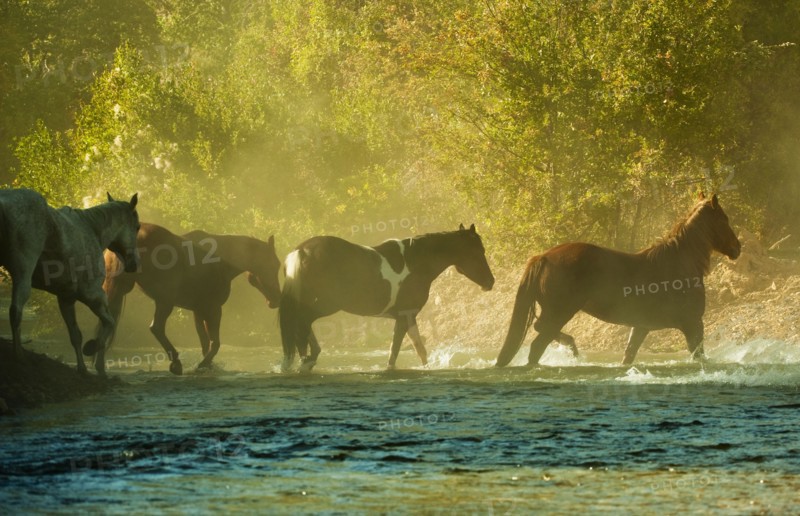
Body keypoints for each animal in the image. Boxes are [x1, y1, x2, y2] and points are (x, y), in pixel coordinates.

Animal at [0, 189, 140, 375]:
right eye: (137, 227)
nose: (134, 264)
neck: (91, 230)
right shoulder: (93, 295)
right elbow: (109, 323)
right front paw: (92, 348)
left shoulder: (66, 298)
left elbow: (75, 335)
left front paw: (82, 369)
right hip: (23, 275)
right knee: (15, 312)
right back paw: (19, 356)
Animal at [102, 222, 282, 374]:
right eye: (274, 264)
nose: (276, 299)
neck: (220, 260)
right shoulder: (213, 309)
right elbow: (215, 343)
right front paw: (202, 365)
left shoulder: (198, 310)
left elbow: (204, 343)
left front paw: (208, 366)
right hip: (164, 301)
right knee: (156, 327)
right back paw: (176, 363)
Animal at [279, 224, 495, 372]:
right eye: (478, 252)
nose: (490, 281)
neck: (415, 262)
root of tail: (302, 250)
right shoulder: (404, 316)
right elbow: (396, 352)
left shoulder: (406, 316)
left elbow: (418, 350)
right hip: (326, 304)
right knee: (301, 323)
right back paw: (307, 361)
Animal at [495, 193, 741, 367]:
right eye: (724, 219)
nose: (737, 248)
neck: (678, 264)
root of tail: (543, 257)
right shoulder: (693, 324)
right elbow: (699, 356)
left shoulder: (641, 327)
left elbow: (628, 355)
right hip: (561, 311)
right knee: (537, 344)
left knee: (541, 331)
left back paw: (572, 347)